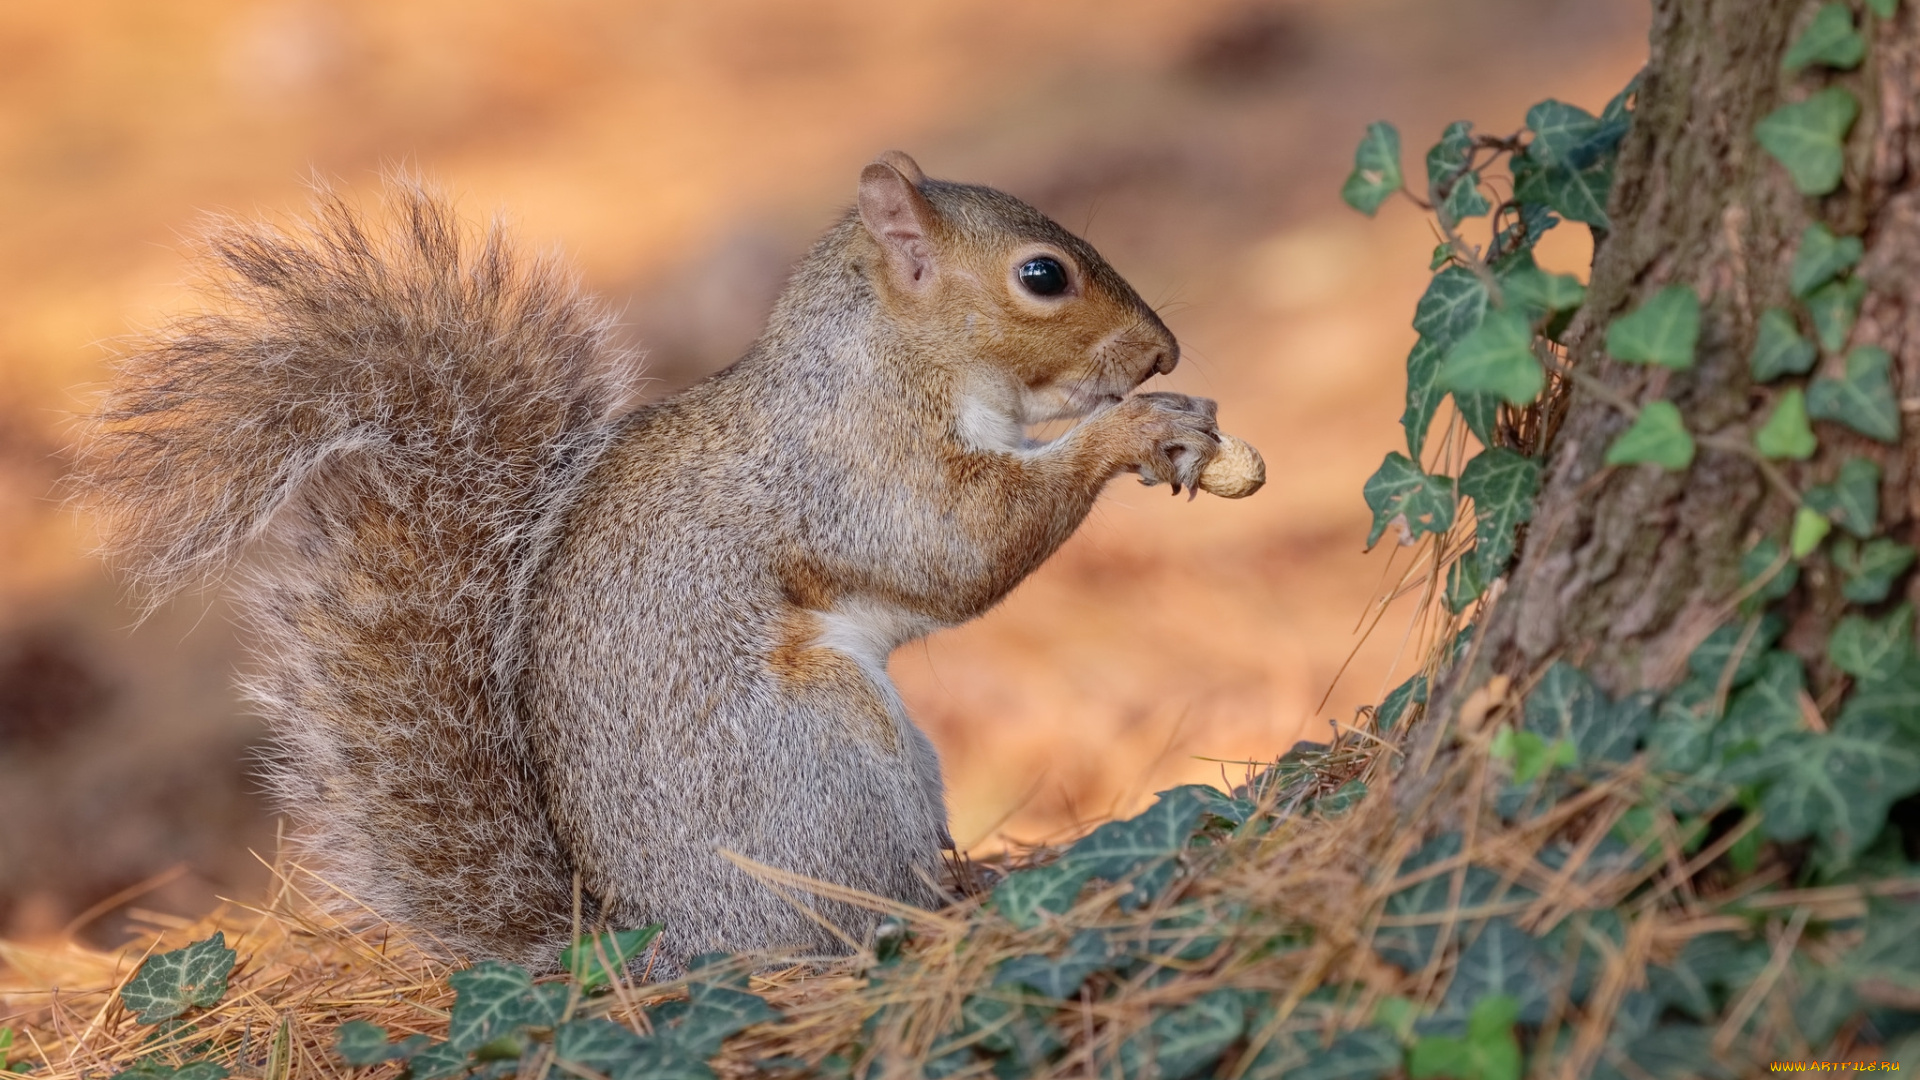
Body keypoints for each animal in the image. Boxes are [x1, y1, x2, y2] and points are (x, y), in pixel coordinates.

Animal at [74, 153, 1228, 976]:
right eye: (1042, 276)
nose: (1163, 352)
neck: (890, 356)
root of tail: (659, 949)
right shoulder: (855, 465)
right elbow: (957, 547)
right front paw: (1134, 431)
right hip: (827, 760)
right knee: (852, 916)